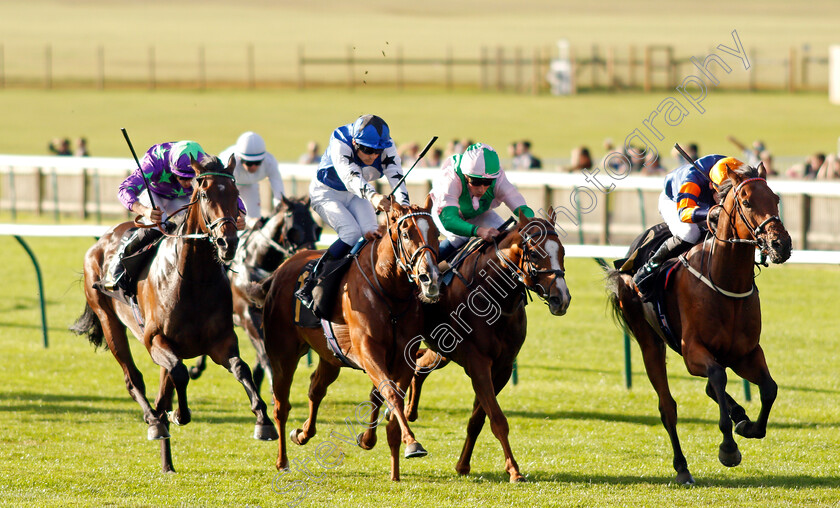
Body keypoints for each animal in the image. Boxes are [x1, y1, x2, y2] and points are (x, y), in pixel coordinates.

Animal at [69, 154, 278, 472]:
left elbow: (241, 369)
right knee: (133, 379)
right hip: (109, 320)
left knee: (159, 393)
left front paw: (263, 421)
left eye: (236, 194)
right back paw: (155, 422)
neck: (193, 280)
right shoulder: (155, 340)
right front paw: (180, 414)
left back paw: (167, 459)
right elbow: (180, 373)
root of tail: (100, 242)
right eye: (204, 194)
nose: (228, 243)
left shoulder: (222, 342)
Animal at [189, 194, 322, 392]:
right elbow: (265, 354)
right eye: (293, 229)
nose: (310, 255)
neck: (257, 260)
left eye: (316, 228)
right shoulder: (248, 316)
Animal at [248, 196, 440, 482]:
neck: (389, 290)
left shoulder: (404, 356)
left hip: (331, 356)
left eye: (436, 233)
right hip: (282, 353)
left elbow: (390, 397)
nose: (431, 279)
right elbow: (389, 394)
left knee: (316, 388)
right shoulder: (368, 351)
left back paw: (302, 433)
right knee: (281, 404)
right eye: (406, 234)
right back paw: (282, 460)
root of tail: (279, 271)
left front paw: (394, 468)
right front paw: (412, 443)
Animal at [378, 211, 572, 484]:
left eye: (563, 251)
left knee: (419, 367)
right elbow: (497, 419)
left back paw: (409, 409)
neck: (494, 298)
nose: (561, 298)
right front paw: (514, 470)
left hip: (441, 352)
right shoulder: (478, 363)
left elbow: (478, 419)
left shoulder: (502, 368)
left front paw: (463, 465)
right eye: (534, 254)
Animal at [608, 163, 792, 484]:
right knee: (667, 406)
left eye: (776, 199)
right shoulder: (693, 352)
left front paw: (748, 425)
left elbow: (769, 389)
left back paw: (739, 415)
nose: (780, 244)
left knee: (710, 389)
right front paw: (728, 448)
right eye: (746, 202)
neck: (724, 281)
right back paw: (682, 467)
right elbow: (717, 377)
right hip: (649, 341)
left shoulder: (746, 353)